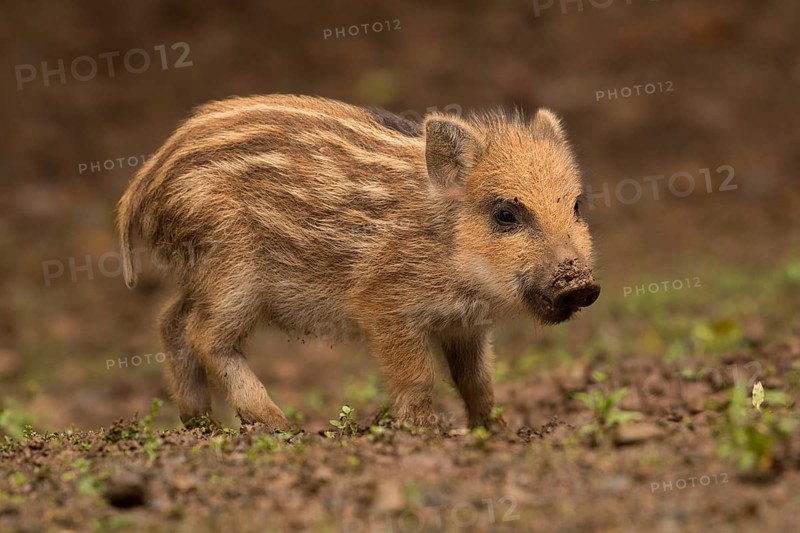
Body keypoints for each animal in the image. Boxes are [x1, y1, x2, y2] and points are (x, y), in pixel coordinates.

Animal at [117, 94, 600, 431]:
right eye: (505, 214)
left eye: (576, 206)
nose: (579, 284)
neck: (448, 247)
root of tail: (144, 182)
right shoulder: (384, 306)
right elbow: (418, 378)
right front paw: (426, 433)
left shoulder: (466, 325)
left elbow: (478, 381)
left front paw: (497, 431)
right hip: (230, 271)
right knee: (203, 335)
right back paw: (279, 426)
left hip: (202, 277)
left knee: (170, 322)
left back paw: (200, 424)